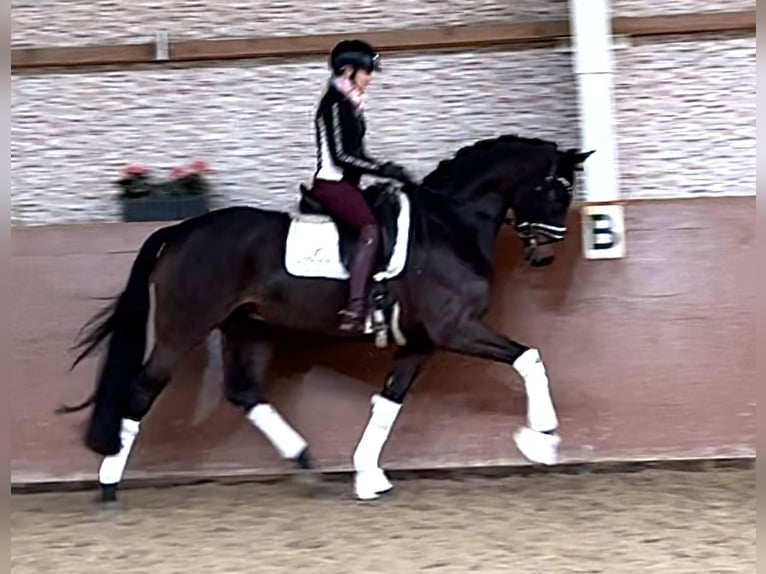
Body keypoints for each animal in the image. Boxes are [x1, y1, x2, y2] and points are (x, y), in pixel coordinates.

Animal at [63, 133, 596, 502]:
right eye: (557, 190)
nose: (546, 254)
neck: (449, 224)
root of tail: (179, 230)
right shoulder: (455, 329)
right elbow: (528, 358)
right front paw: (541, 439)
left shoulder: (421, 341)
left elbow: (389, 402)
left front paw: (368, 475)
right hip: (184, 329)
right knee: (141, 389)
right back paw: (109, 484)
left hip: (249, 328)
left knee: (244, 392)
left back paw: (303, 458)